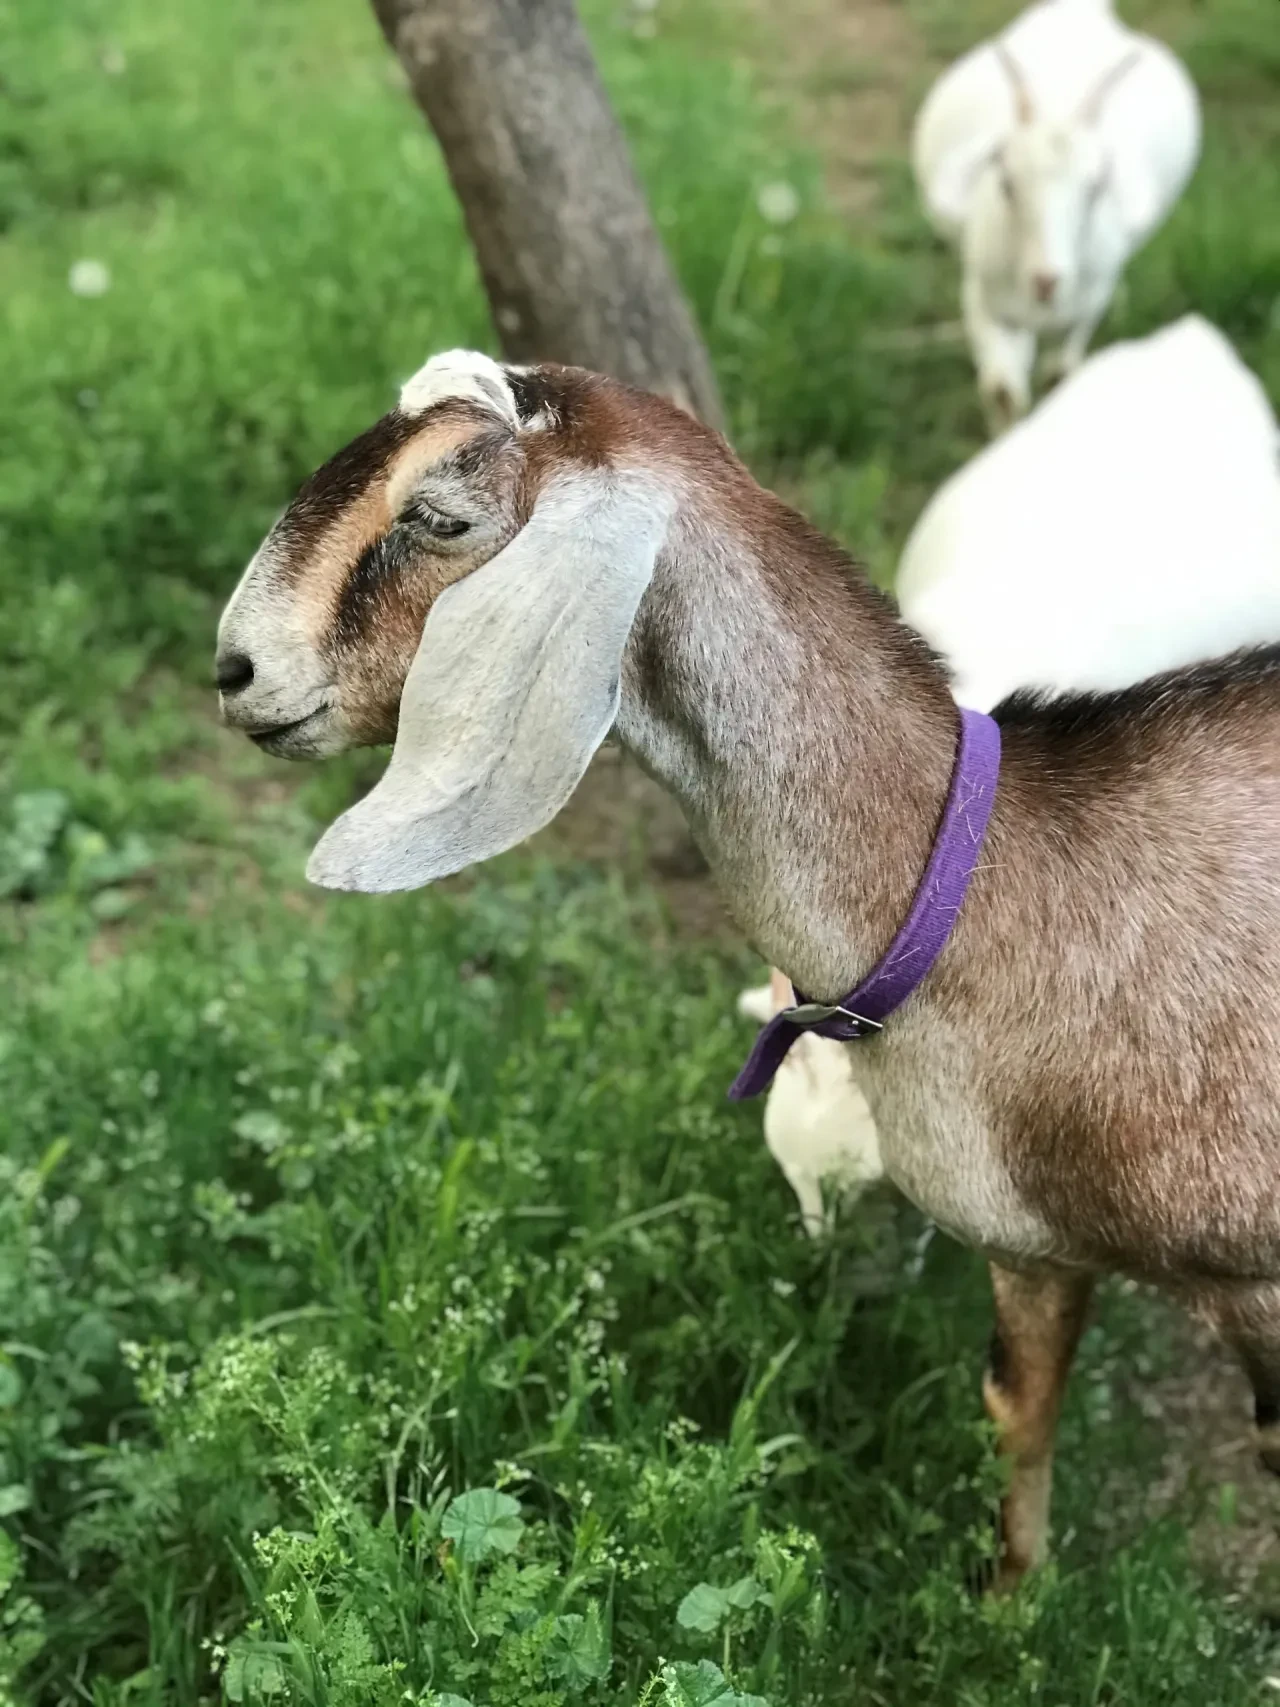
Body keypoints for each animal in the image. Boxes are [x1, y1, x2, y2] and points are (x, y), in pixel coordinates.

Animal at [217, 350, 1280, 1590]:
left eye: (439, 515)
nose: (234, 670)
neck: (993, 881)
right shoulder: (1029, 1249)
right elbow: (1013, 1416)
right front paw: (1005, 1609)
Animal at [912, 0, 1200, 430]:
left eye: (1097, 188)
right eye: (1006, 182)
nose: (1046, 281)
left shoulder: (1085, 309)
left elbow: (1058, 379)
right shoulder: (983, 300)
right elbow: (1002, 392)